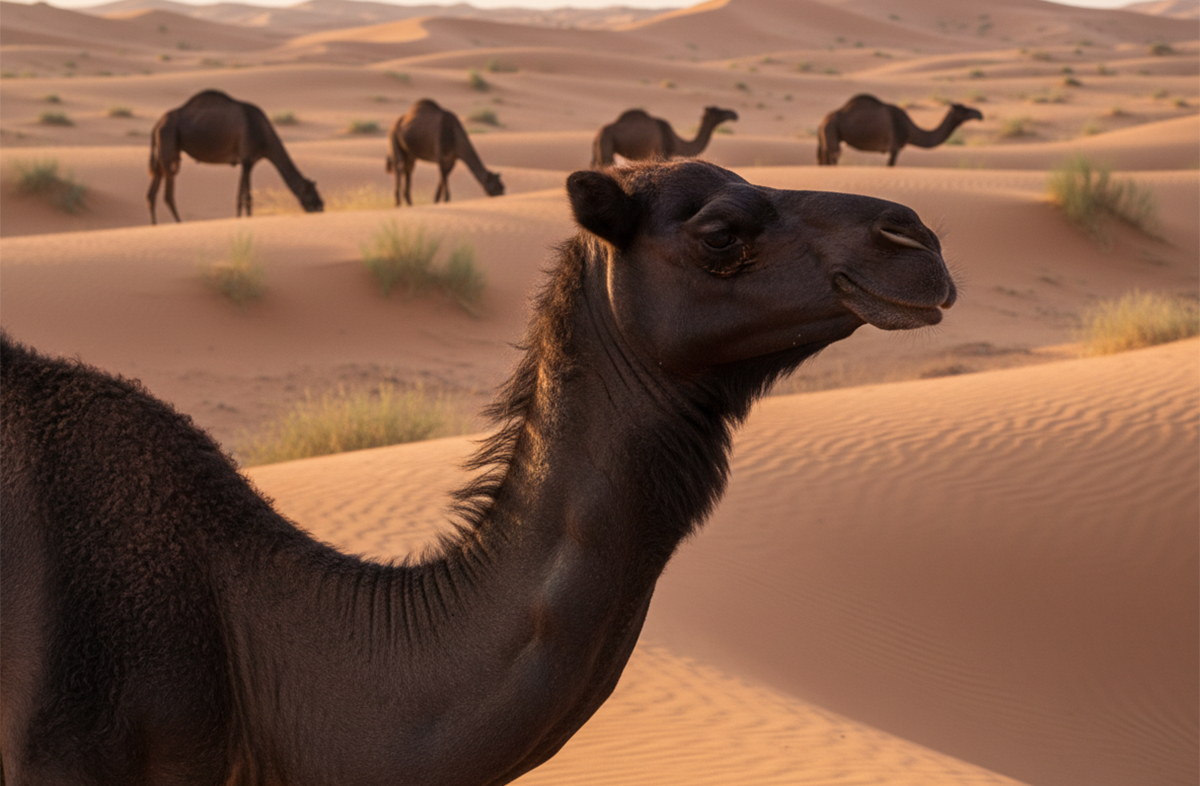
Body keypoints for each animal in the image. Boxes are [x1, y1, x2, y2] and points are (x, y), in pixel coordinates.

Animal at [147, 89, 323, 224]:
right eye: (312, 195)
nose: (321, 206)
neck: (264, 135)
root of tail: (157, 124)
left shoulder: (249, 162)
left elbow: (244, 196)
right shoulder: (246, 160)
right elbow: (244, 197)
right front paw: (242, 220)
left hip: (164, 153)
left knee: (151, 193)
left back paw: (155, 225)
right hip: (169, 144)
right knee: (168, 195)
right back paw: (179, 223)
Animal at [591, 105, 738, 167]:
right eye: (717, 112)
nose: (734, 114)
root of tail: (597, 134)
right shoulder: (663, 153)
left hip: (599, 149)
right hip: (607, 144)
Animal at [817, 94, 983, 166]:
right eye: (963, 110)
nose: (979, 114)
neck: (910, 130)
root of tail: (823, 121)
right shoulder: (895, 147)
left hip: (828, 138)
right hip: (832, 135)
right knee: (832, 158)